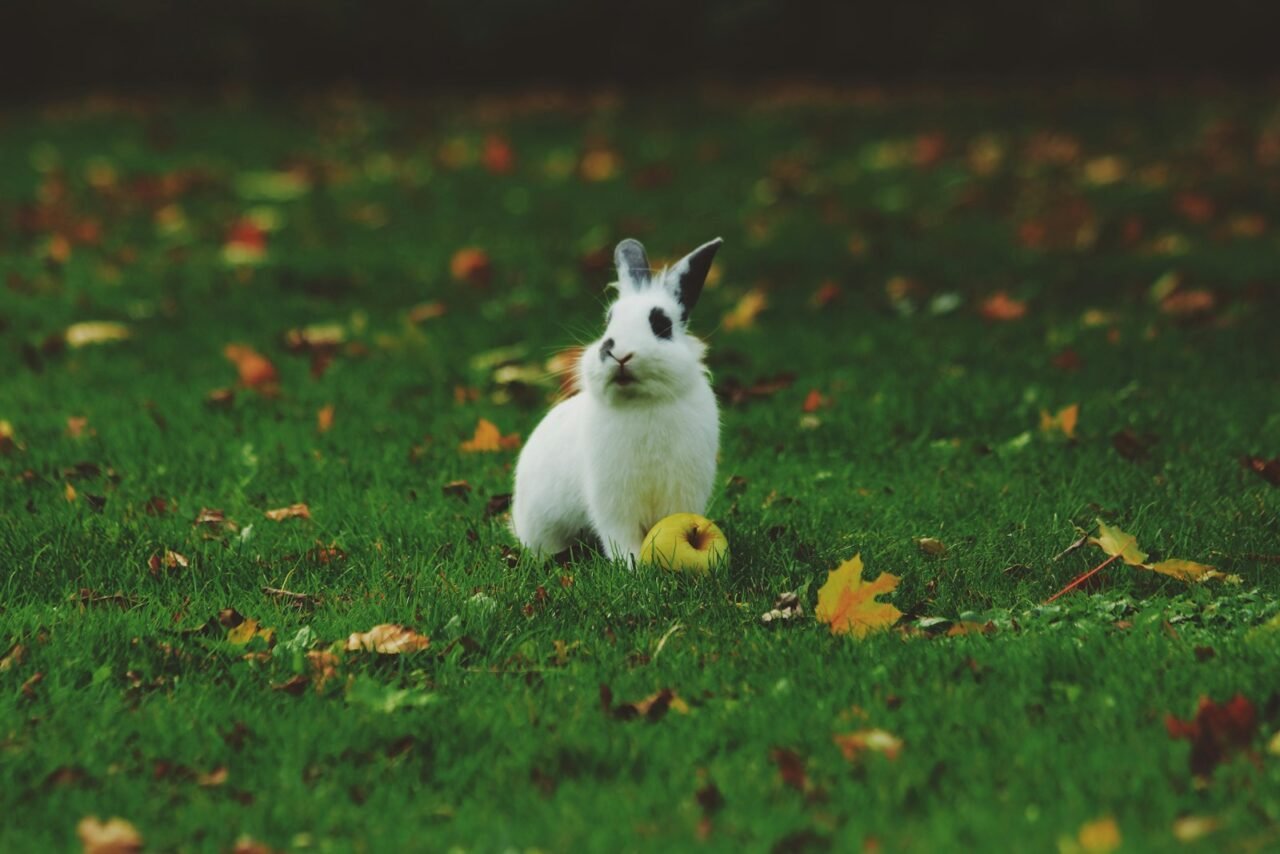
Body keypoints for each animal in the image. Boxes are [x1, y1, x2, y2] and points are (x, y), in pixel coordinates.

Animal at [512, 237, 723, 562]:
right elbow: (619, 536)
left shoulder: (681, 493)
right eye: (608, 322)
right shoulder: (613, 501)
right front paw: (632, 564)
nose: (617, 353)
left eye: (662, 324)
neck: (643, 402)